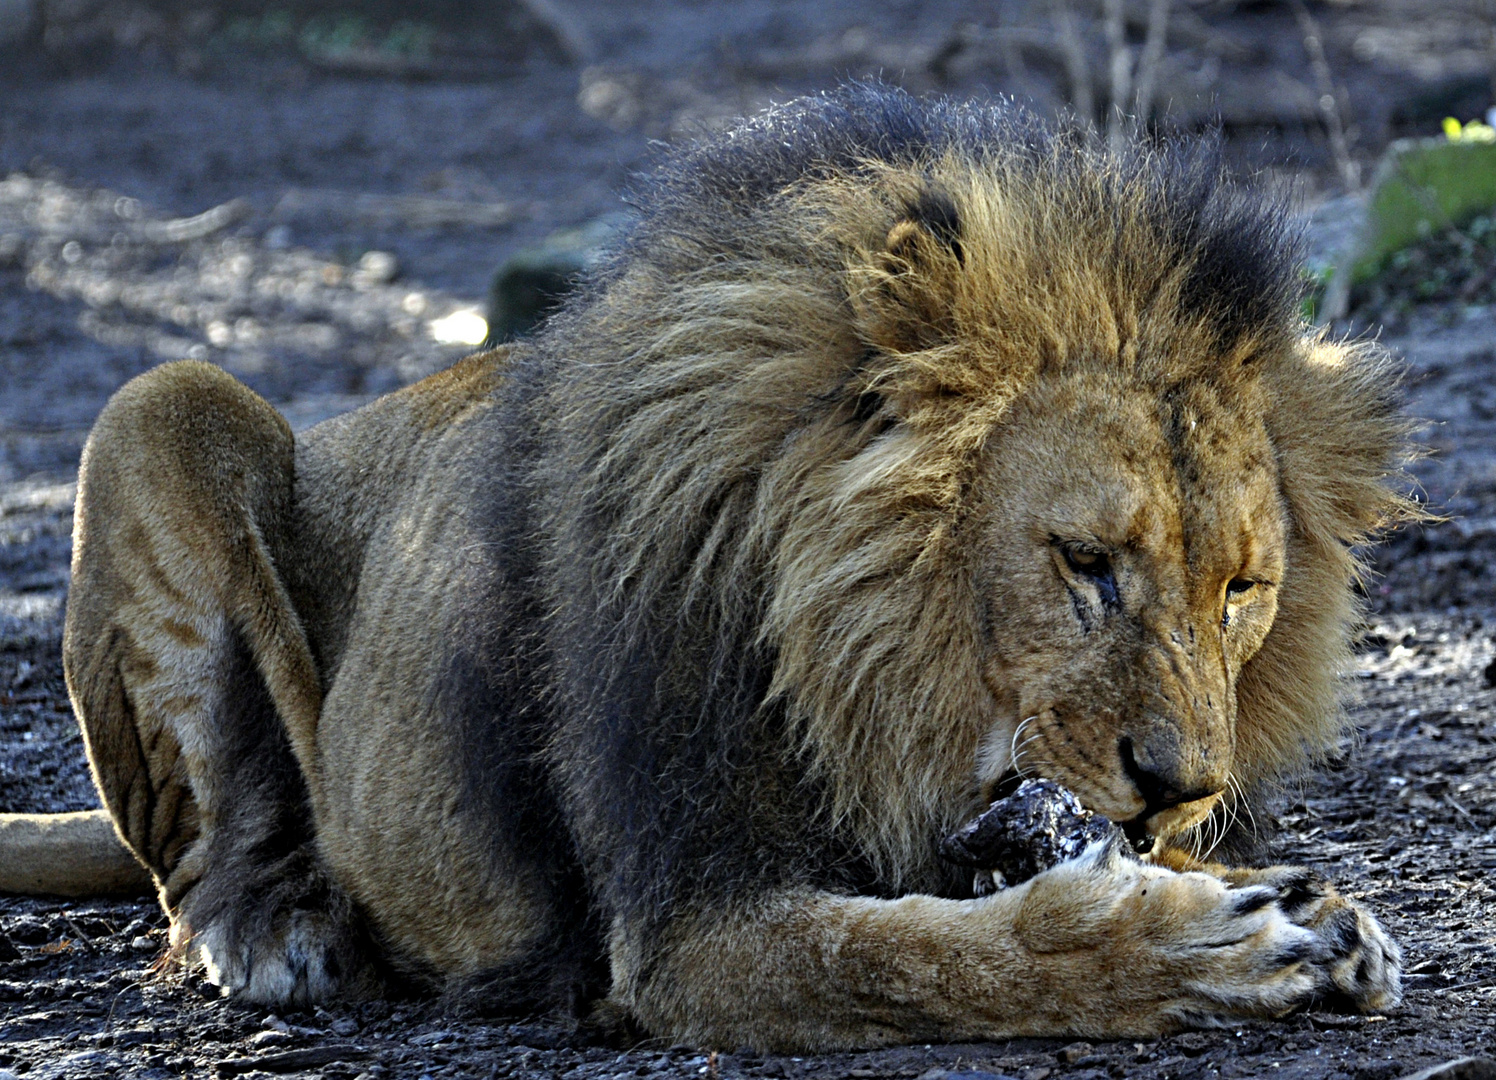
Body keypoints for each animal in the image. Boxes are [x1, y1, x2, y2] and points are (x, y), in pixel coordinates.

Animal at [23, 88, 1412, 1047]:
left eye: (1239, 592)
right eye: (1083, 561)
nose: (1182, 786)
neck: (875, 684)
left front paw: (1295, 903)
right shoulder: (688, 922)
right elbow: (933, 958)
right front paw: (1197, 943)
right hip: (158, 407)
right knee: (196, 858)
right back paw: (278, 925)